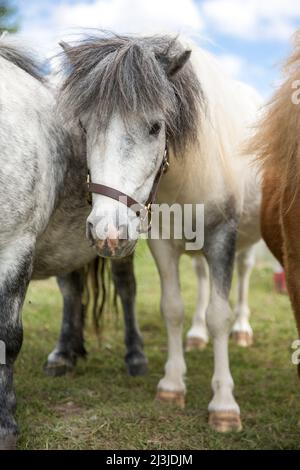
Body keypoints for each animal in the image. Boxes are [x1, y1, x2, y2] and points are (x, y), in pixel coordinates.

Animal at [0, 42, 146, 450]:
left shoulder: (14, 249)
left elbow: (8, 337)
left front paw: (6, 424)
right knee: (72, 289)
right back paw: (67, 353)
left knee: (126, 289)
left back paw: (134, 356)